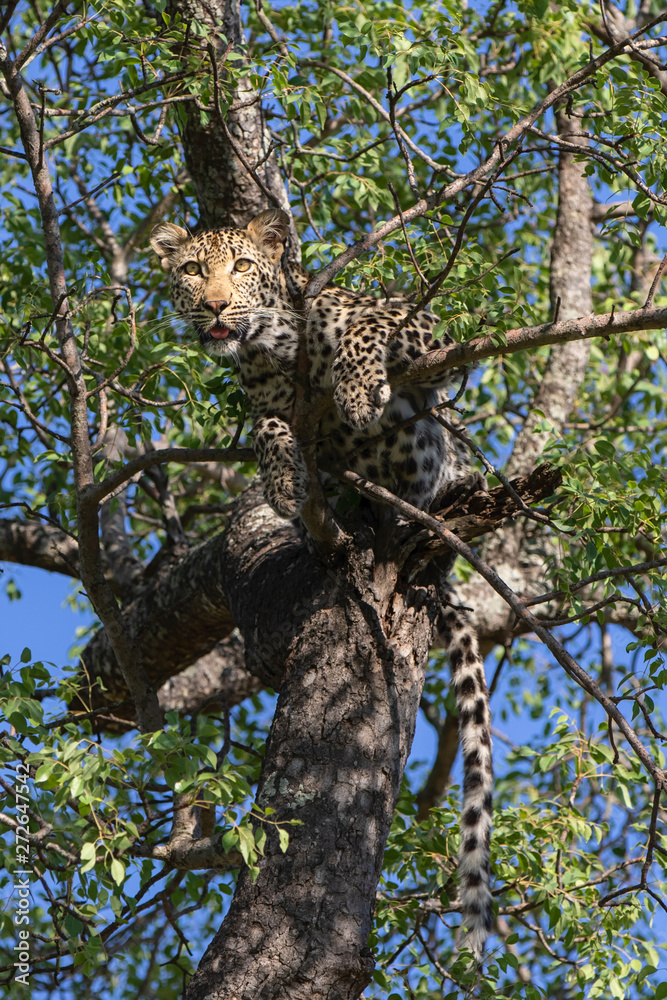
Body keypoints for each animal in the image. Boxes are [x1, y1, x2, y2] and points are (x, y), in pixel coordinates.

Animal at [150, 208, 493, 957]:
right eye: (192, 270)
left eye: (242, 267)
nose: (215, 306)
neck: (273, 343)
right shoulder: (272, 406)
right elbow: (271, 428)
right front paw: (285, 482)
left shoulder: (417, 324)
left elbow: (364, 331)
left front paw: (356, 388)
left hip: (431, 454)